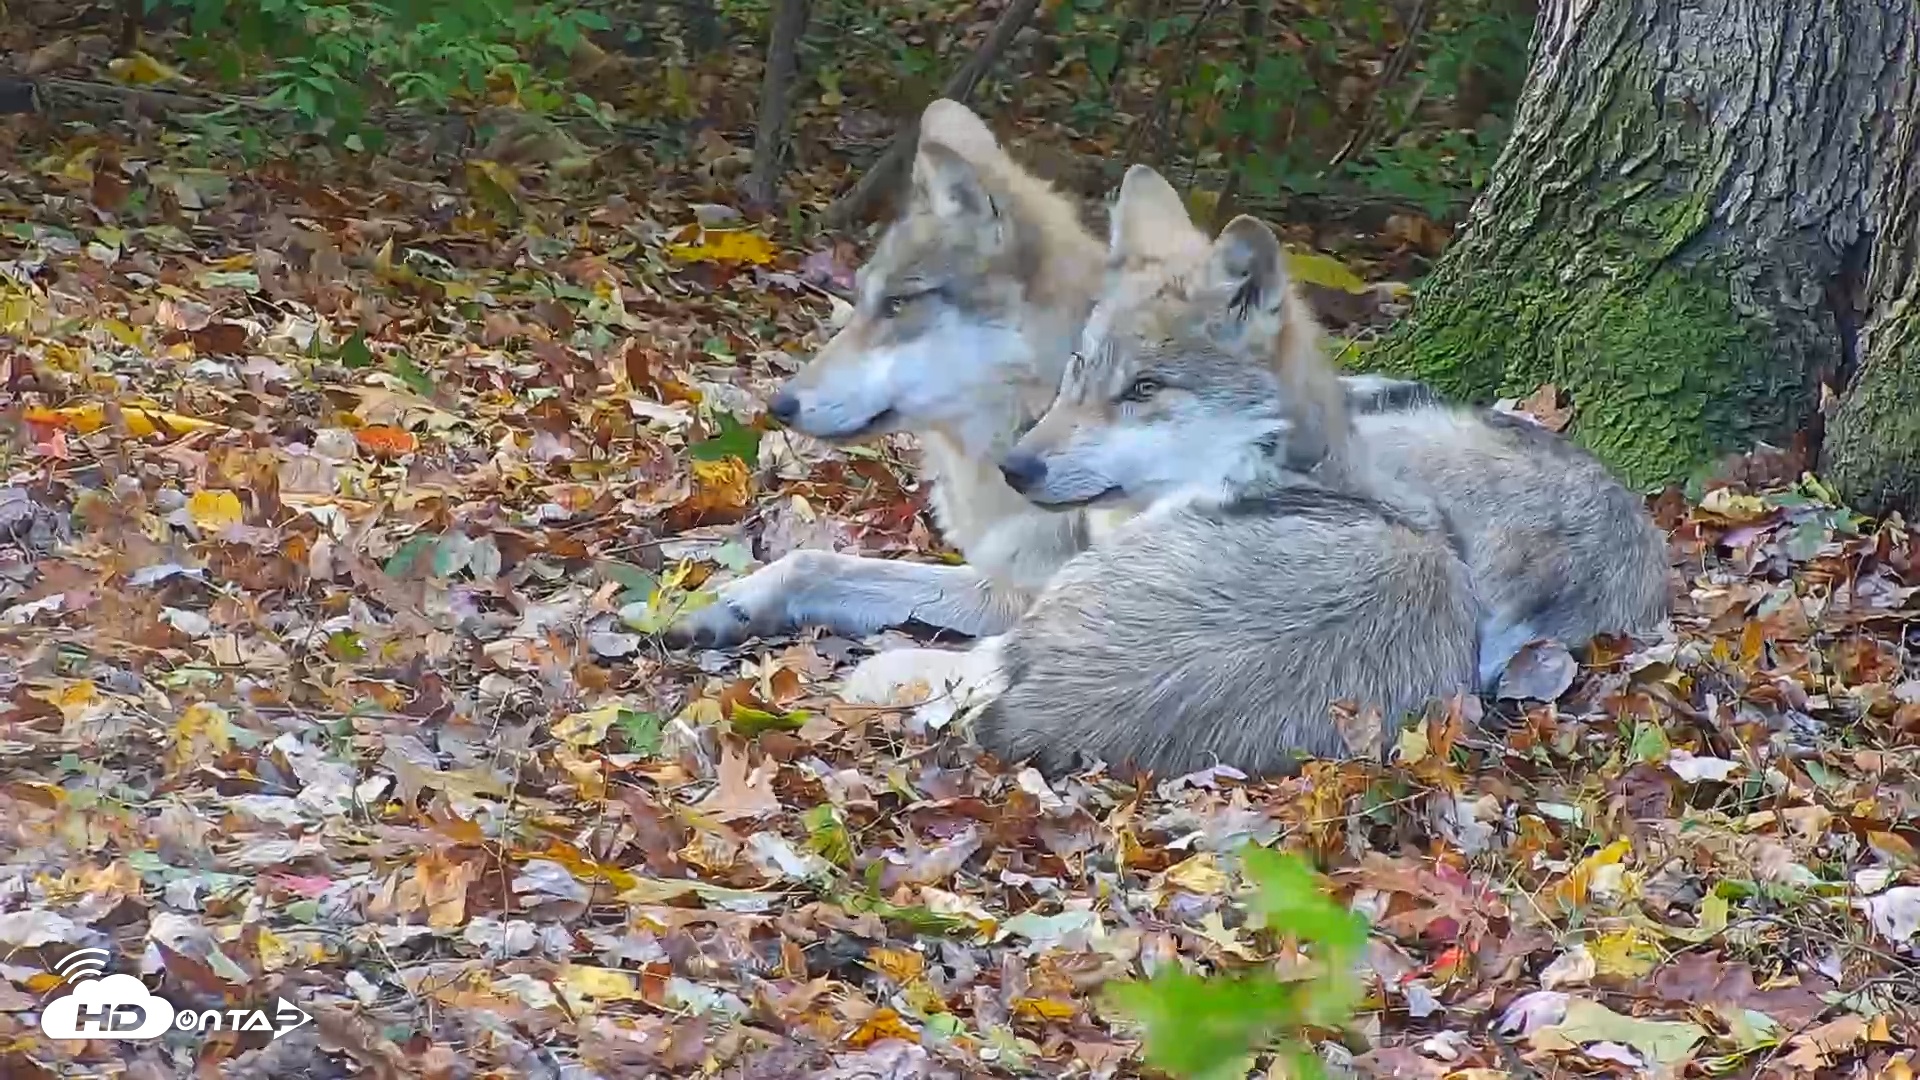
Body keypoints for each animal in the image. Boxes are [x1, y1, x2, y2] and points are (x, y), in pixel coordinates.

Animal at [667, 100, 1432, 650]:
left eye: (900, 305)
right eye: (860, 300)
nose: (780, 404)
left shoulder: (1023, 596)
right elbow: (818, 563)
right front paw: (727, 602)